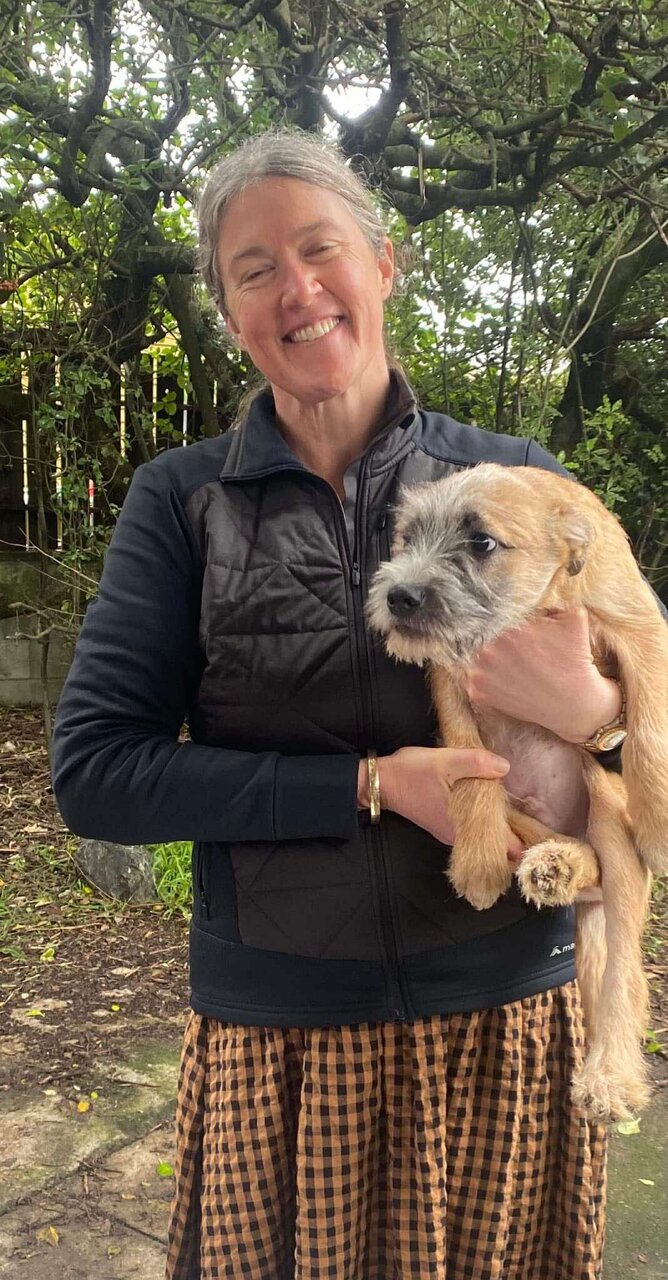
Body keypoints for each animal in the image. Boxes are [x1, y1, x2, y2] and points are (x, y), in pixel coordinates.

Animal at [367, 462, 668, 1122]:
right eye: (407, 539)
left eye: (481, 543)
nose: (399, 596)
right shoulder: (452, 679)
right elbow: (472, 765)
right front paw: (479, 862)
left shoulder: (643, 630)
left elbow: (651, 726)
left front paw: (662, 826)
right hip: (535, 816)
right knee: (555, 843)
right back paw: (553, 865)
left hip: (608, 814)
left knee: (622, 972)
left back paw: (610, 1075)